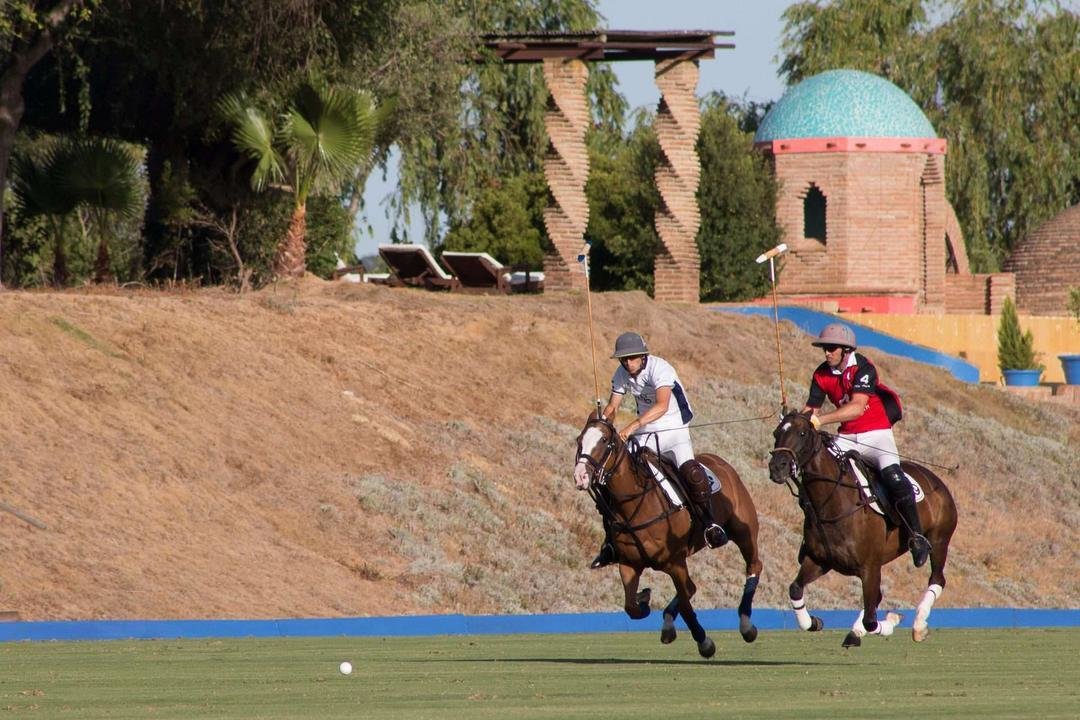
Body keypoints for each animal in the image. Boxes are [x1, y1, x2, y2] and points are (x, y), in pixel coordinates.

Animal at [570, 414, 764, 656]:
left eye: (605, 441)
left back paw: (746, 625)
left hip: (744, 531)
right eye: (579, 440)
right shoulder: (629, 563)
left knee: (753, 566)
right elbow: (631, 607)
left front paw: (705, 643)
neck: (636, 504)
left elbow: (687, 607)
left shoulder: (675, 561)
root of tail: (719, 461)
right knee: (690, 588)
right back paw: (668, 623)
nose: (580, 476)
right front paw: (644, 598)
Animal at [764, 410, 959, 647]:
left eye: (802, 433)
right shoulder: (819, 560)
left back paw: (919, 625)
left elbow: (871, 621)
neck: (833, 501)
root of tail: (935, 478)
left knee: (937, 579)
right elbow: (795, 589)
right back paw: (856, 633)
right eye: (776, 432)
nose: (777, 467)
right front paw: (814, 622)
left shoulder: (869, 566)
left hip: (940, 540)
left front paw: (892, 621)